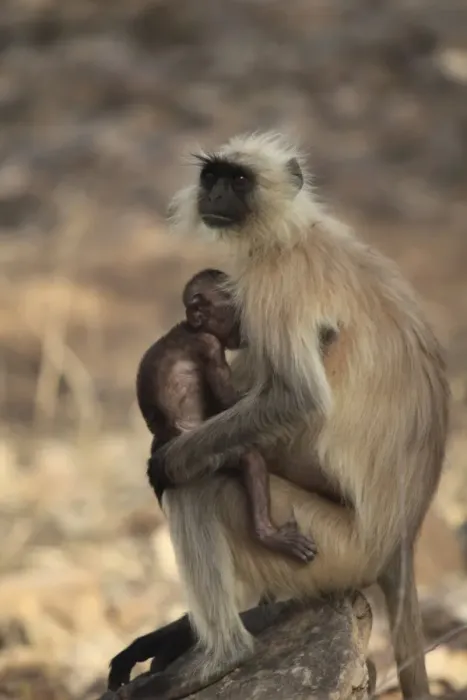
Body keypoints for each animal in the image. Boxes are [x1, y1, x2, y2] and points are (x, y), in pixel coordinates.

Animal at [108, 132, 450, 700]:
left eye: (239, 180)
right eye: (212, 176)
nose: (216, 194)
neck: (293, 233)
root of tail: (400, 543)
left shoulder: (275, 284)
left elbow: (297, 398)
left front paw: (166, 459)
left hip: (334, 548)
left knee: (200, 486)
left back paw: (222, 654)